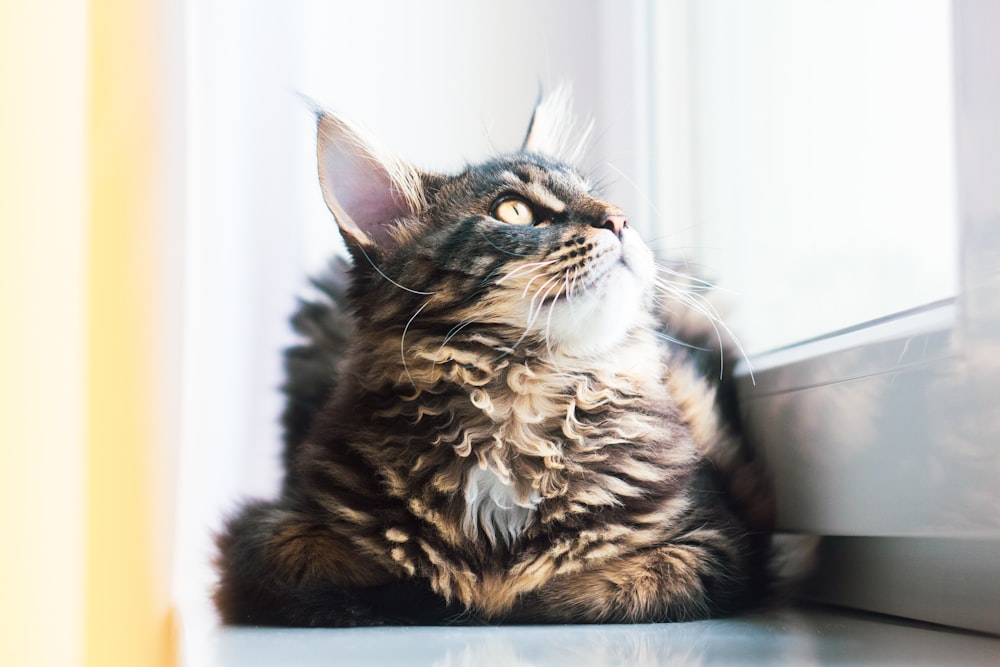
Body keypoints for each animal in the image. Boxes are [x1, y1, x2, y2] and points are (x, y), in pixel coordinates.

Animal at [217, 88, 780, 628]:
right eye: (514, 211)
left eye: (599, 195)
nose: (620, 219)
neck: (516, 399)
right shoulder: (269, 535)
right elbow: (365, 576)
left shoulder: (715, 539)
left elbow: (597, 587)